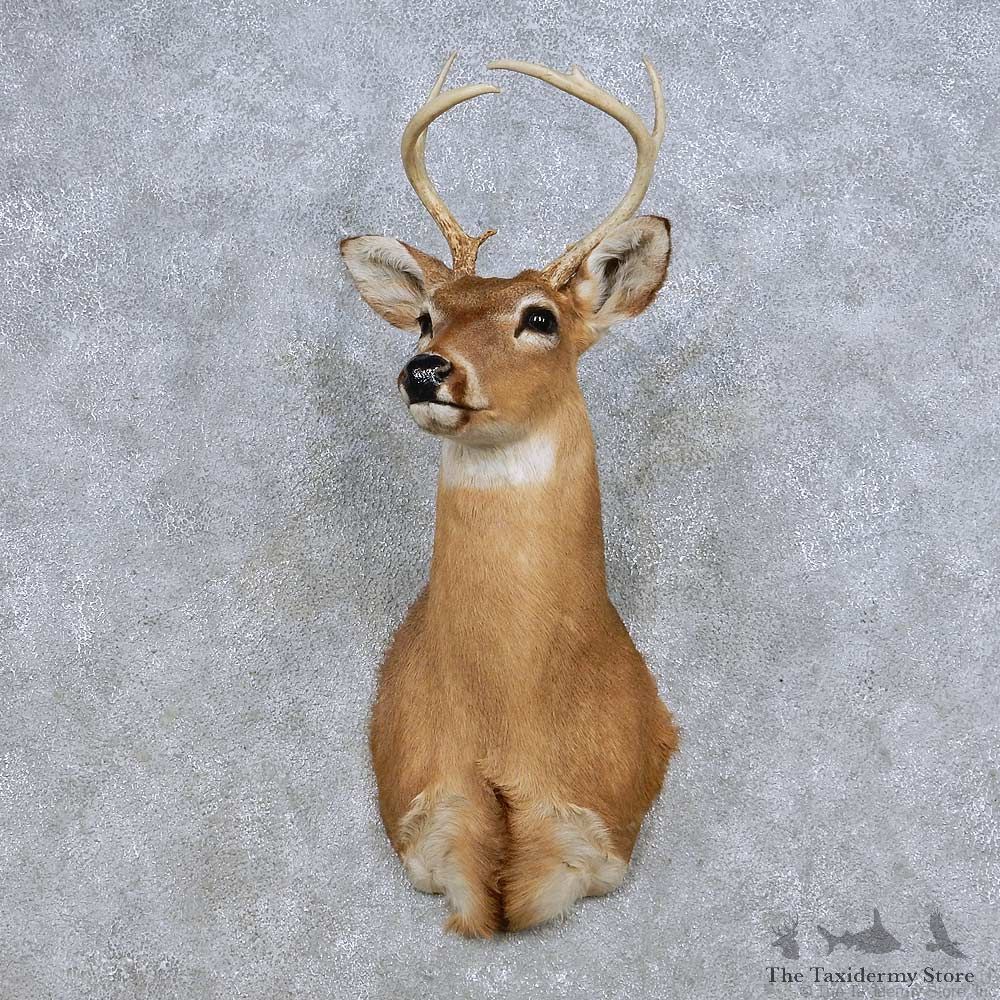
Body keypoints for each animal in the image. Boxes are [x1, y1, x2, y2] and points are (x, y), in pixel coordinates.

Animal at [340, 53, 679, 937]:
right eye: (425, 317)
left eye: (540, 317)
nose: (425, 370)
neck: (507, 722)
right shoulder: (426, 816)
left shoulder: (598, 825)